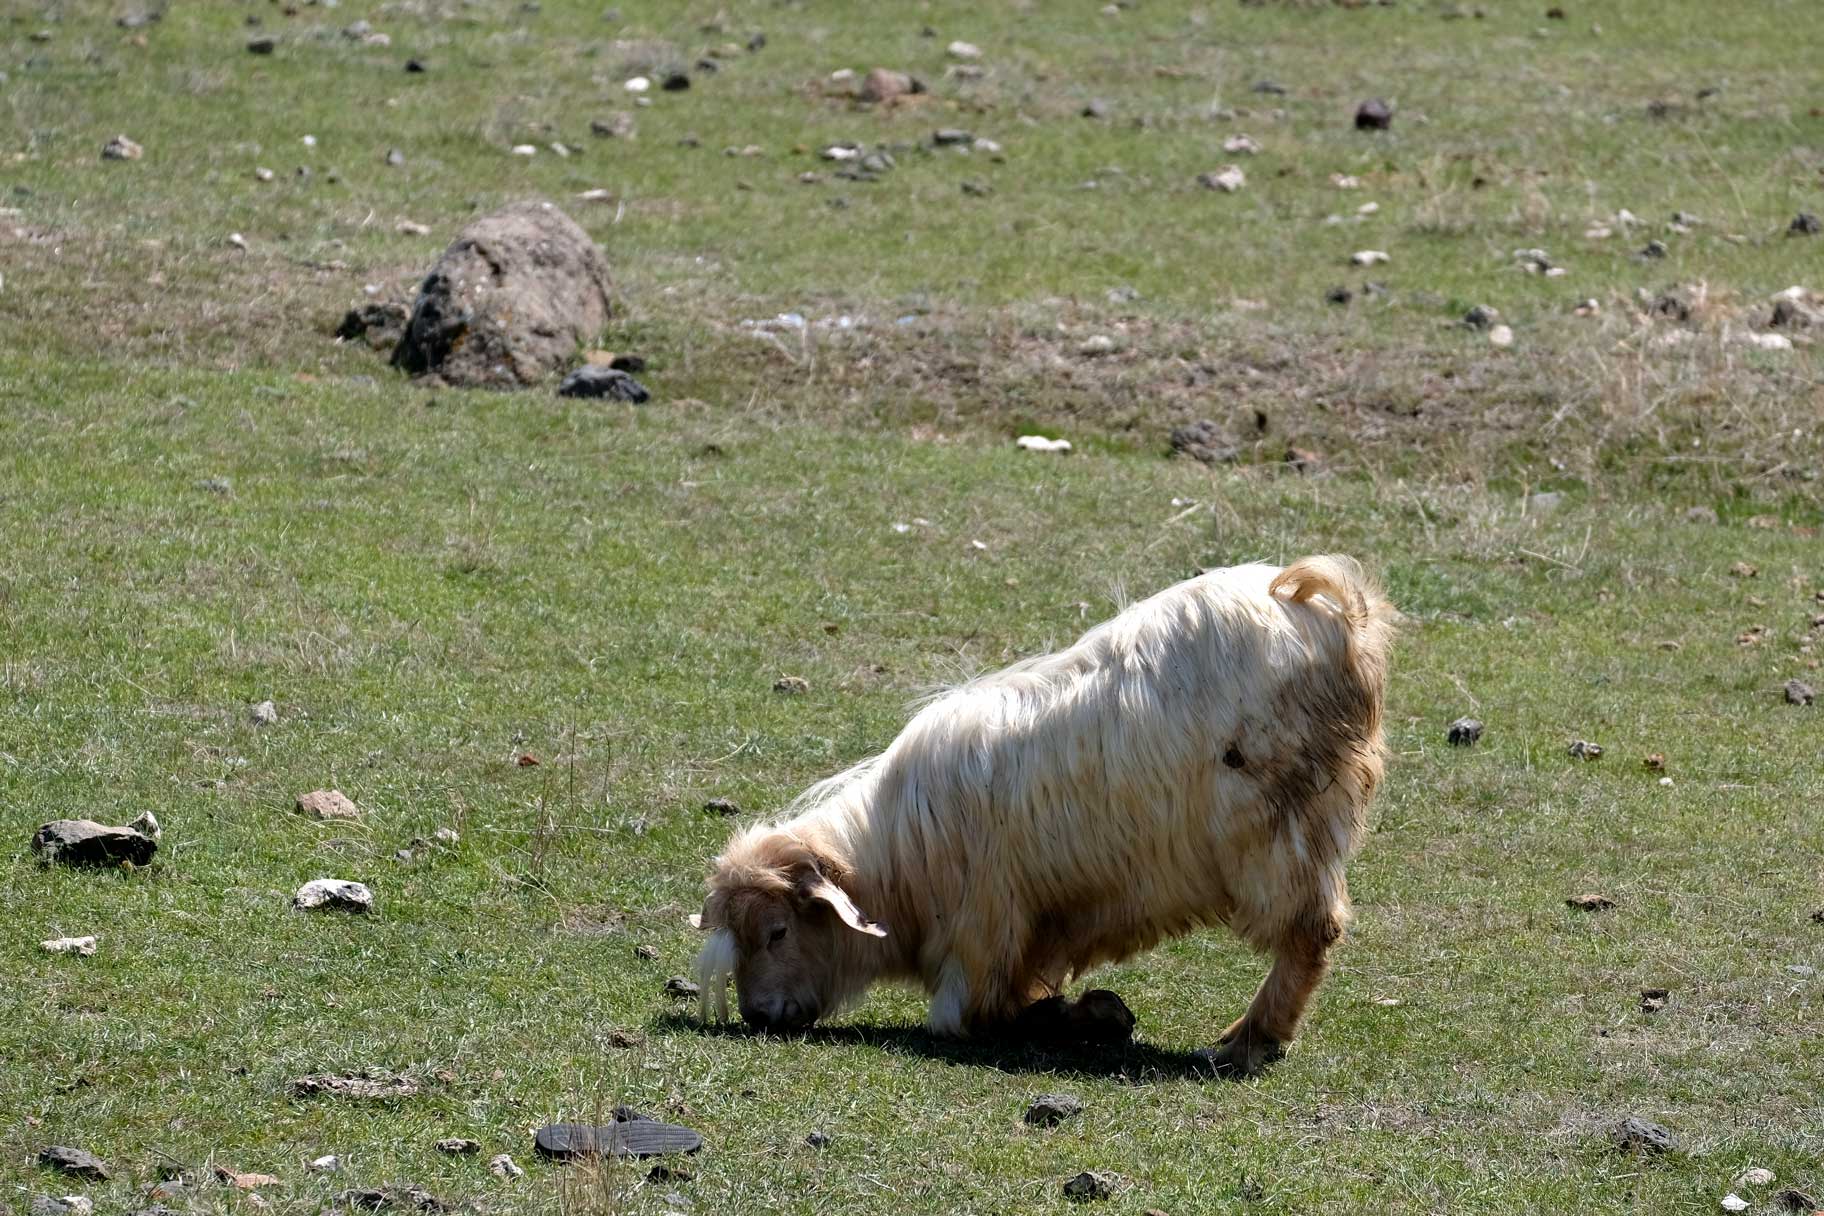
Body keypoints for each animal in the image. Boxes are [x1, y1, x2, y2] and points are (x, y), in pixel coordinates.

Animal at [689, 554, 1386, 1071]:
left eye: (778, 931)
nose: (757, 1015)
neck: (899, 857)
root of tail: (1315, 601)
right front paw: (1098, 1013)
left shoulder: (983, 937)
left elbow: (977, 1017)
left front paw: (1094, 1016)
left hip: (1281, 836)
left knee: (1310, 933)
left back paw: (1251, 1038)